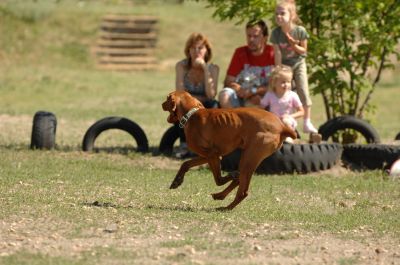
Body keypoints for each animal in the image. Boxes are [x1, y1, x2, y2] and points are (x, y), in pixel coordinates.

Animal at [161, 89, 296, 209]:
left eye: (167, 98)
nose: (161, 104)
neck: (191, 114)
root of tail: (282, 126)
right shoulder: (211, 156)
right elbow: (186, 164)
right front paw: (177, 181)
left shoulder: (213, 155)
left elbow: (219, 180)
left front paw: (231, 175)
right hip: (249, 159)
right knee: (239, 182)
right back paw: (221, 196)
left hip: (248, 159)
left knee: (243, 191)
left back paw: (226, 207)